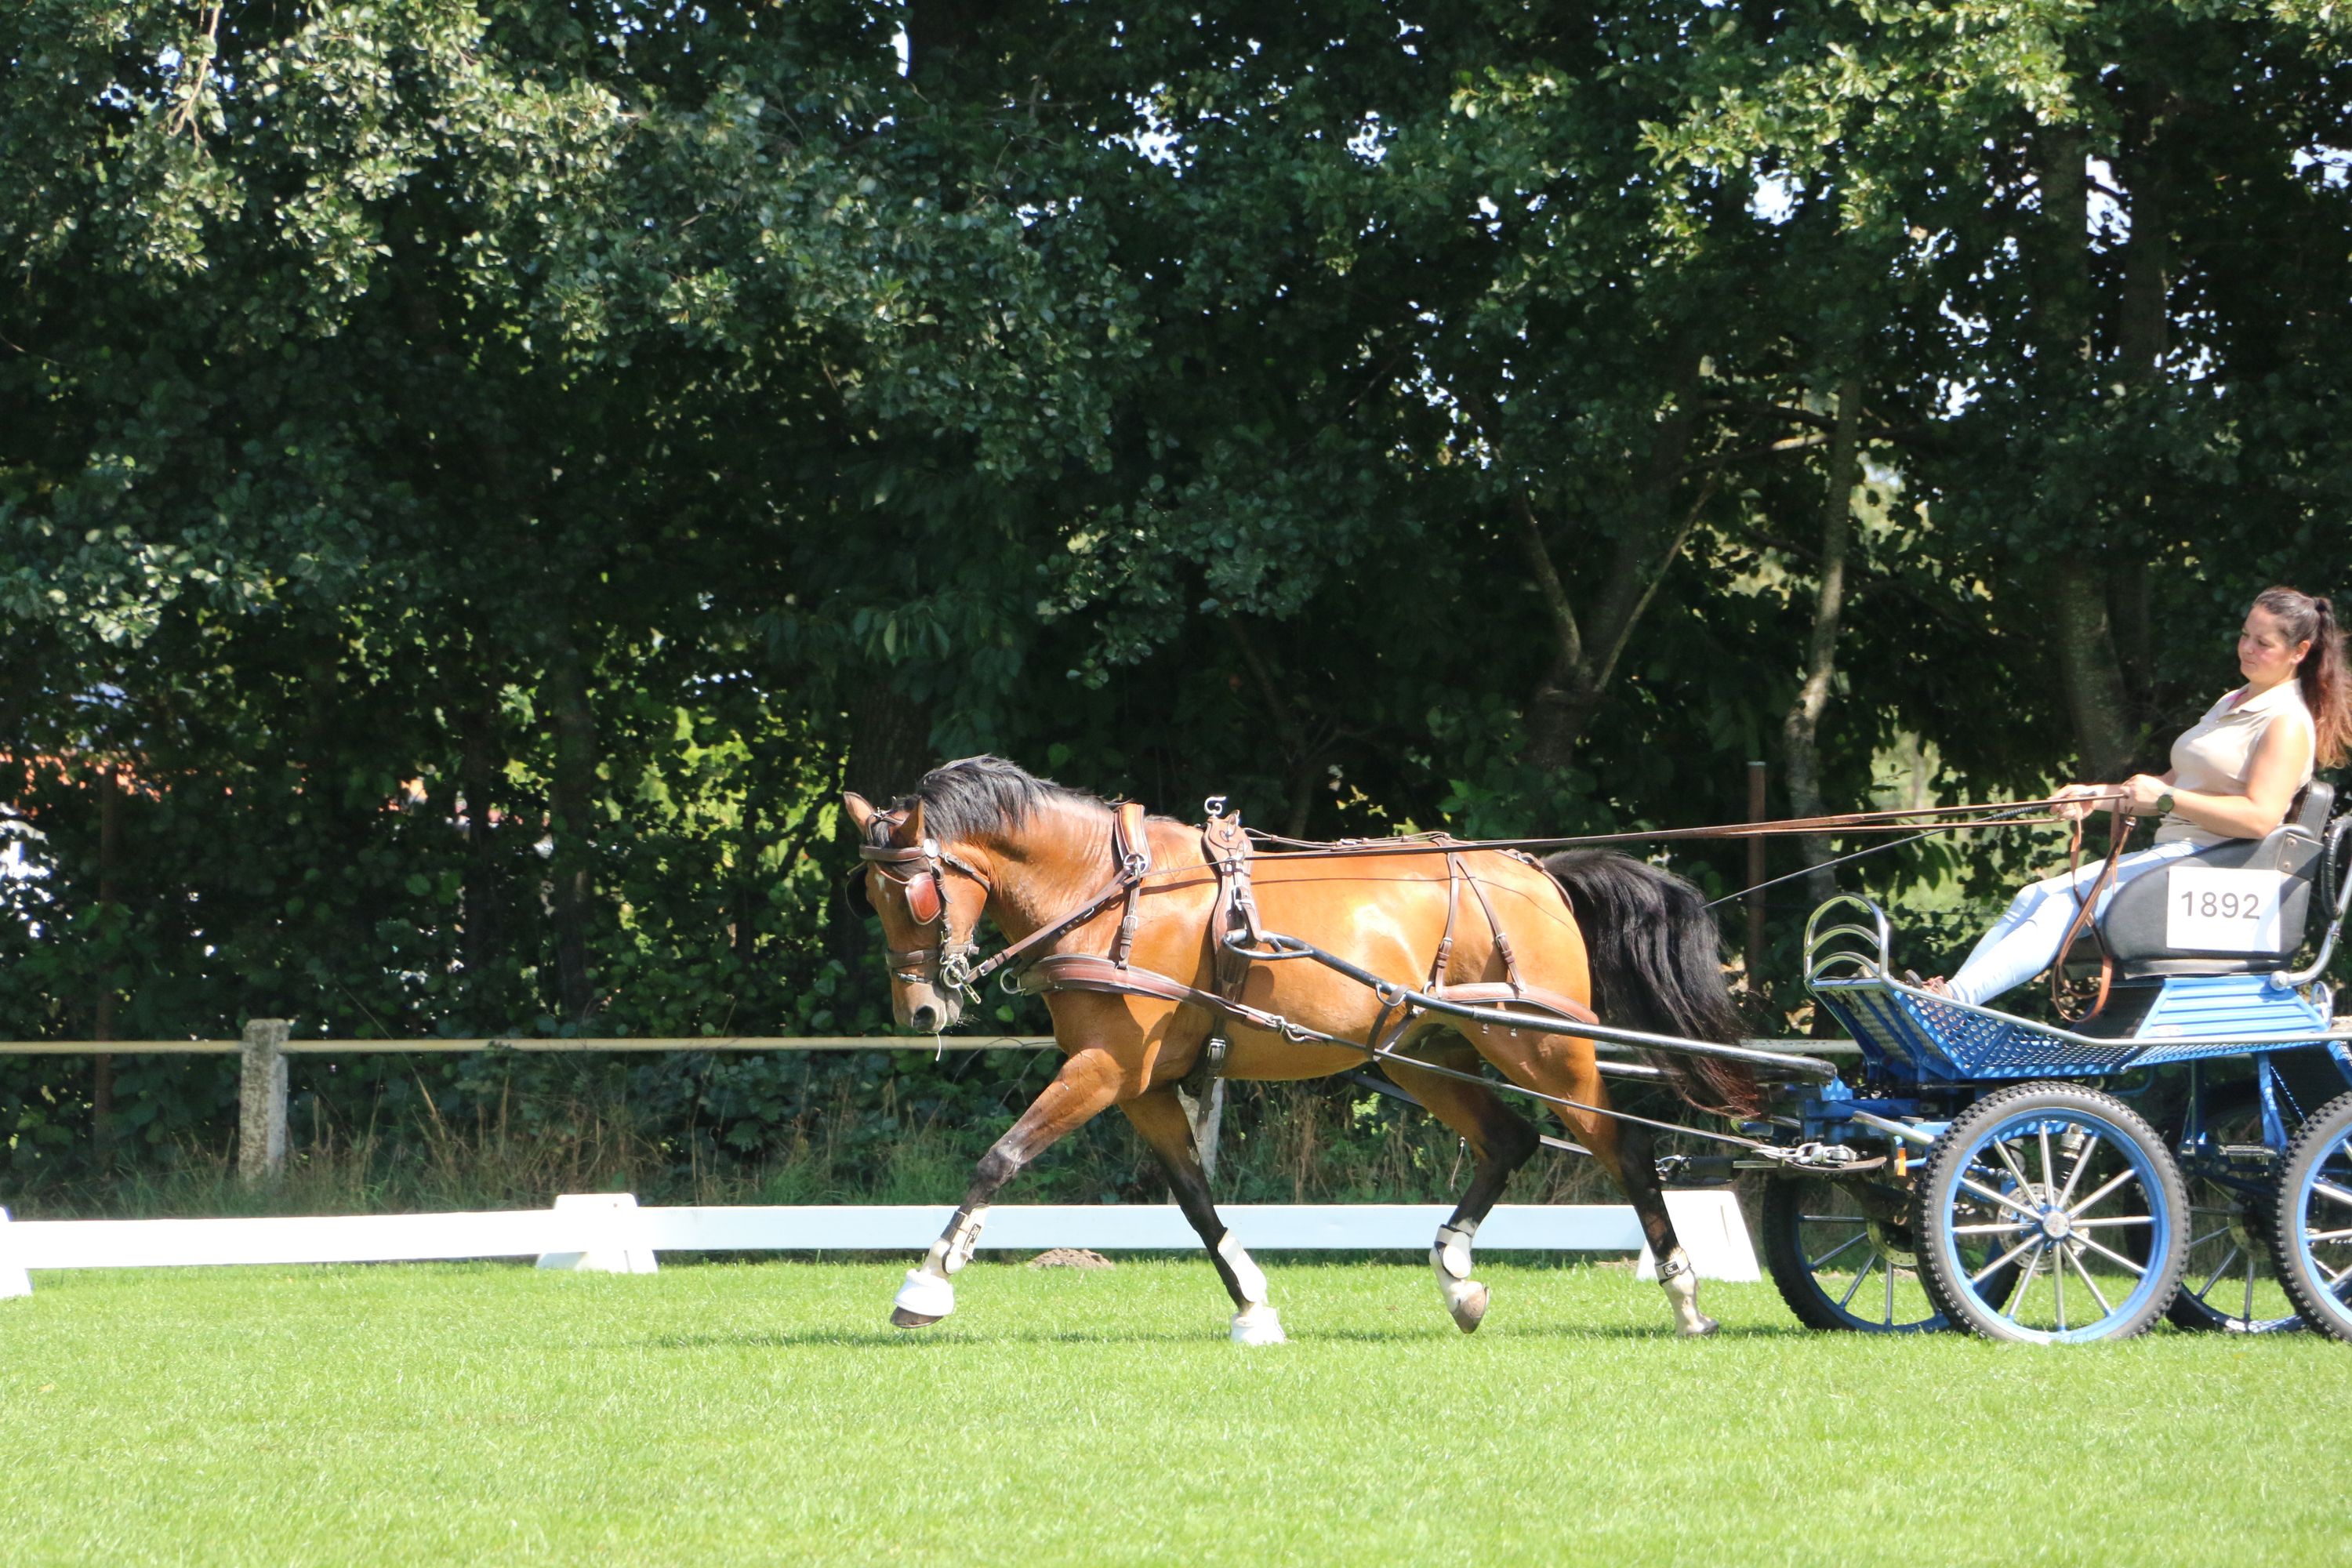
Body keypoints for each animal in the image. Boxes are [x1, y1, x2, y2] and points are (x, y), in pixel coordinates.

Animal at [843, 755, 1757, 1344]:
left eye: (917, 895)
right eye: (870, 897)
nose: (920, 1006)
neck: (1111, 892)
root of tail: (1537, 872)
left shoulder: (1105, 1070)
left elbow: (999, 1157)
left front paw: (926, 1284)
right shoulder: (1144, 1085)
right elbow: (1194, 1200)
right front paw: (1253, 1307)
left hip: (1542, 1047)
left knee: (1623, 1149)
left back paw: (1687, 1301)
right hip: (1425, 1052)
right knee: (1511, 1139)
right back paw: (1457, 1277)